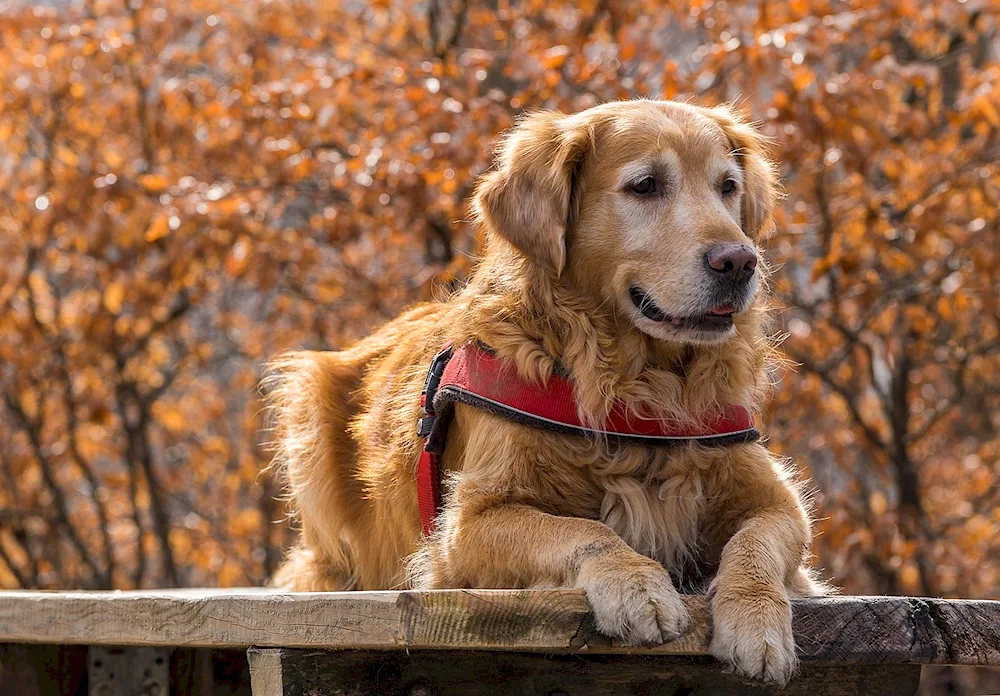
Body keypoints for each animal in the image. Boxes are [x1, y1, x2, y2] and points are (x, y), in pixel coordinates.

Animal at [264, 100, 828, 684]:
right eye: (645, 185)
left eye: (728, 186)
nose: (739, 261)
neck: (638, 386)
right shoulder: (466, 527)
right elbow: (581, 530)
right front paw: (637, 585)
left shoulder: (777, 500)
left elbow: (755, 544)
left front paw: (757, 620)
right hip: (307, 401)